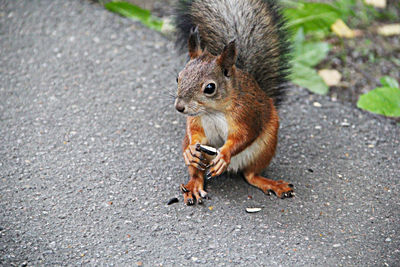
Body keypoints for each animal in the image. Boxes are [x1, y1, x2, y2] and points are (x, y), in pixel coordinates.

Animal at [173, 0, 292, 207]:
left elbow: (244, 136)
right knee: (197, 173)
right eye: (178, 78)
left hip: (265, 148)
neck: (213, 111)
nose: (180, 107)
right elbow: (194, 131)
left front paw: (224, 155)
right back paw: (194, 185)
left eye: (210, 88)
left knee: (250, 175)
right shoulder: (196, 119)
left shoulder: (246, 114)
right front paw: (190, 150)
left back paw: (271, 184)